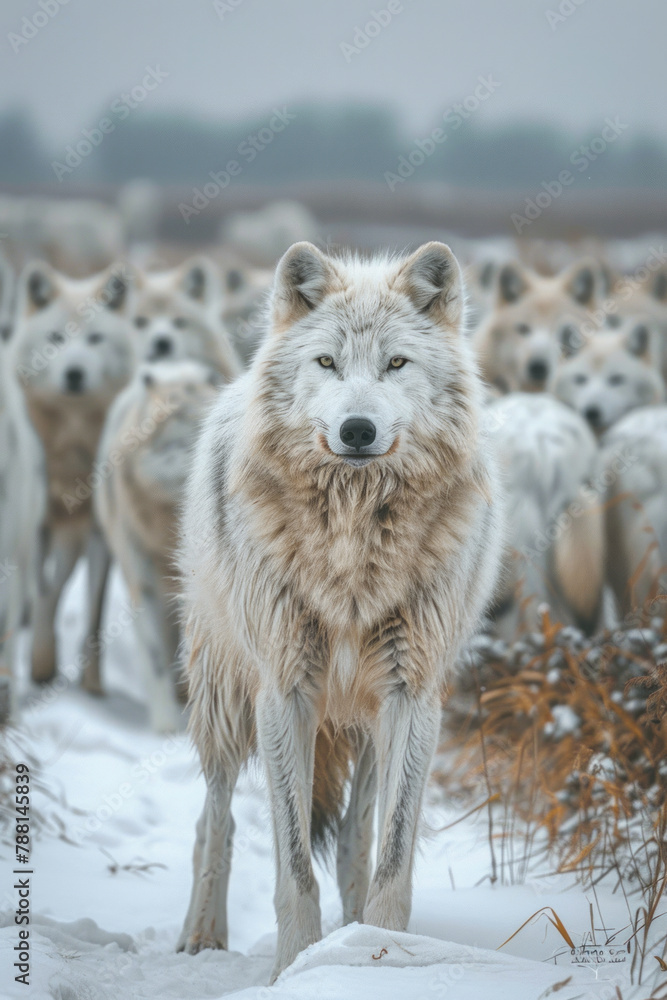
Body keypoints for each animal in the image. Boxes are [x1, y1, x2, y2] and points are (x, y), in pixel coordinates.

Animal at [12, 260, 135, 685]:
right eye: (55, 339)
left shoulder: (97, 531)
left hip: (73, 538)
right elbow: (40, 591)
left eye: (95, 339)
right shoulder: (36, 526)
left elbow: (93, 612)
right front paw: (39, 664)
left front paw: (93, 685)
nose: (75, 373)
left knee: (59, 585)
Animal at [176, 241, 504, 981]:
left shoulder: (413, 696)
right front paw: (293, 969)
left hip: (369, 723)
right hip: (223, 697)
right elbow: (294, 865)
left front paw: (376, 955)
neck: (353, 539)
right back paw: (199, 938)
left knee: (357, 834)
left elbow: (391, 856)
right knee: (214, 819)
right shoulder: (284, 691)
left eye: (395, 364)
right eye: (326, 362)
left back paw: (353, 934)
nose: (358, 430)